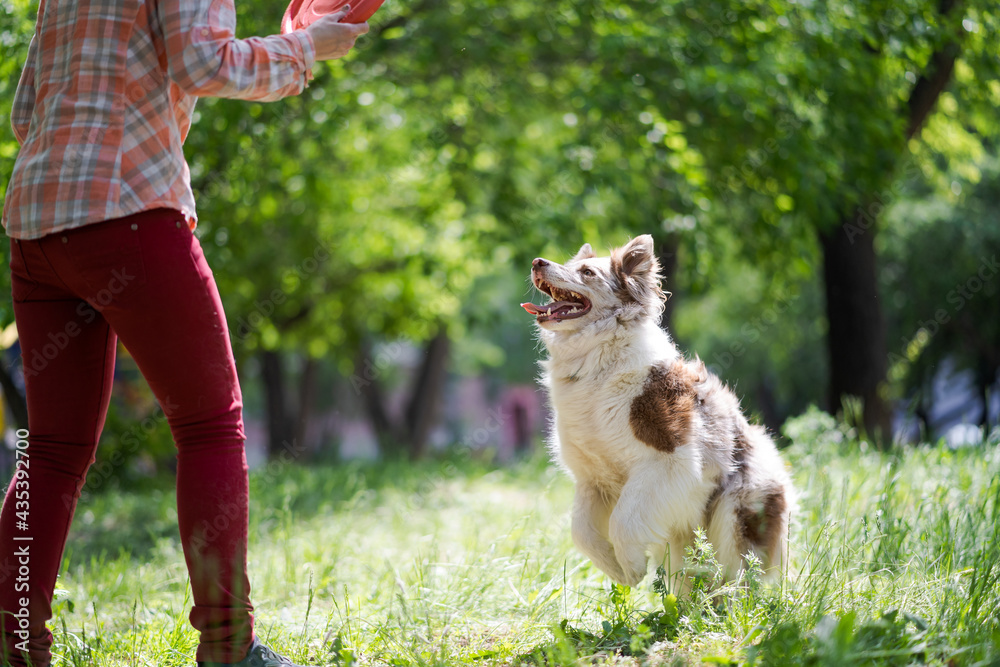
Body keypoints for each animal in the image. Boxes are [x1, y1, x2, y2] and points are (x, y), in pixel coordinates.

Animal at [524, 236, 796, 588]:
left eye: (587, 272)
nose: (537, 262)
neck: (598, 362)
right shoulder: (592, 479)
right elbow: (581, 532)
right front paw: (615, 568)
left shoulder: (668, 461)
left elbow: (623, 520)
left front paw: (633, 565)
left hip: (735, 515)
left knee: (740, 577)